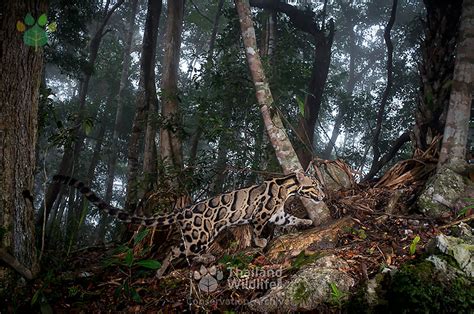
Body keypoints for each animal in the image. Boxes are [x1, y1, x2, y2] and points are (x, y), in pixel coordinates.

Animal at [53, 172, 324, 278]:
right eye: (314, 186)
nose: (322, 196)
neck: (285, 185)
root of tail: (183, 210)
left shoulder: (277, 214)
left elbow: (290, 219)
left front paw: (306, 220)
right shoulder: (261, 214)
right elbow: (259, 230)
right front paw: (260, 241)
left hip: (195, 237)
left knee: (178, 250)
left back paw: (161, 271)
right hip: (201, 236)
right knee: (184, 252)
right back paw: (194, 262)